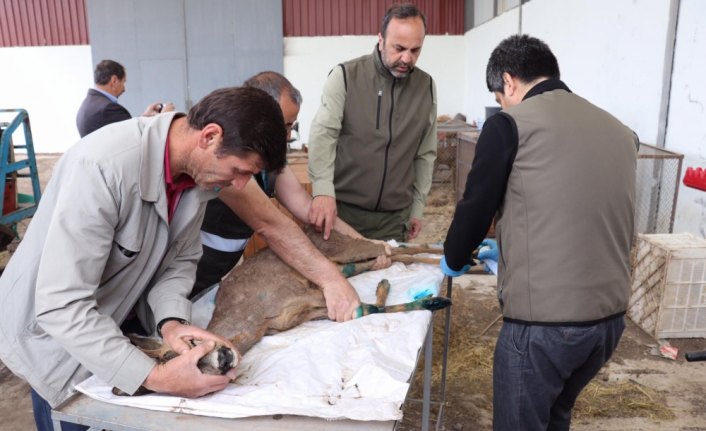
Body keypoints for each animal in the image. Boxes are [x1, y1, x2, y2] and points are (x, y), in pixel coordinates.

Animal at [118, 228, 448, 396]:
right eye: (194, 370)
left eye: (193, 342)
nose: (223, 359)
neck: (256, 321)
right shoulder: (307, 309)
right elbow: (367, 310)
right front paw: (426, 300)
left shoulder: (305, 294)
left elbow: (368, 307)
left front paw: (436, 301)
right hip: (342, 265)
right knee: (388, 257)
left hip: (341, 250)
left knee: (398, 248)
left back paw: (448, 256)